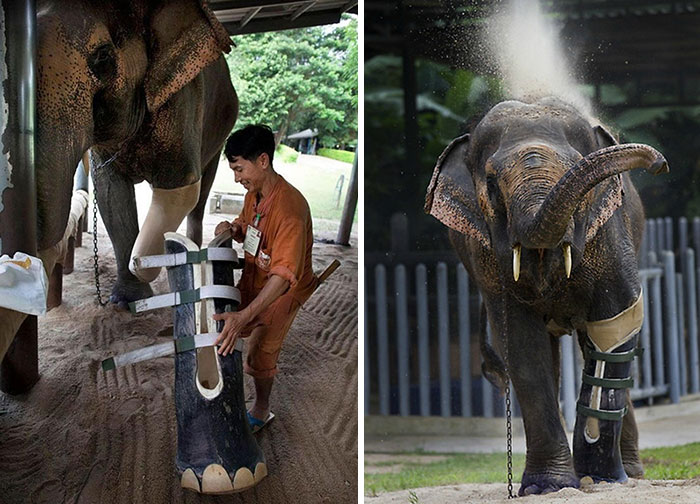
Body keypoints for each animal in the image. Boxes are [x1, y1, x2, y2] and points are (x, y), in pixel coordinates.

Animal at [425, 96, 668, 495]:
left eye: (579, 170)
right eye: (491, 185)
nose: (659, 162)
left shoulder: (610, 233)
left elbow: (619, 316)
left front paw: (596, 479)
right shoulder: (487, 259)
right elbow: (523, 346)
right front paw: (548, 488)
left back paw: (629, 475)